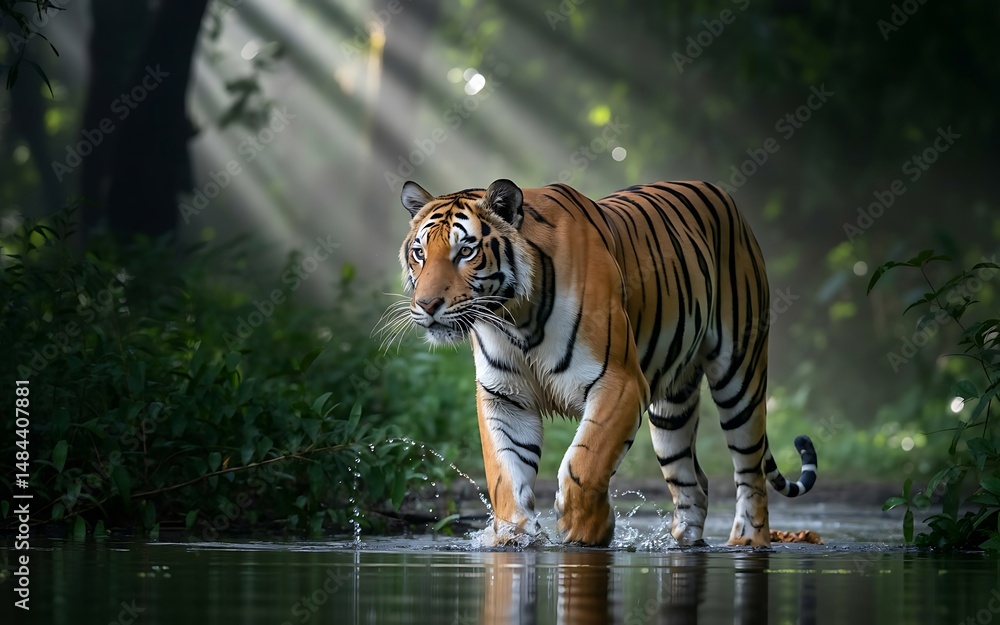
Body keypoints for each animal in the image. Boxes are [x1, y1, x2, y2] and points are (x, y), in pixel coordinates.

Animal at [393, 178, 818, 547]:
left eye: (466, 251)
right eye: (419, 253)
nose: (427, 305)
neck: (515, 316)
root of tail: (720, 193)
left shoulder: (619, 382)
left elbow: (585, 462)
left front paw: (584, 532)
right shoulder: (504, 396)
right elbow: (505, 472)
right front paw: (515, 535)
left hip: (739, 376)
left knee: (750, 472)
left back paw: (747, 540)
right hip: (672, 408)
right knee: (693, 483)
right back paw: (684, 544)